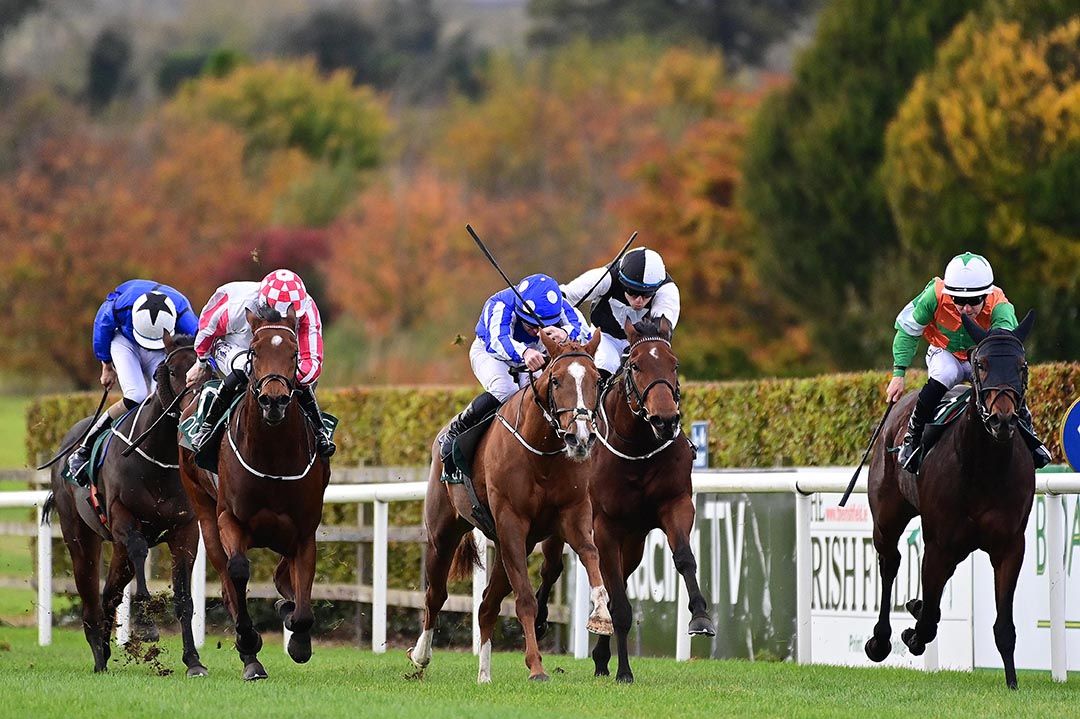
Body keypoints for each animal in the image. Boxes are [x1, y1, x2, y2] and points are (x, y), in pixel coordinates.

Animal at [42, 332, 206, 673]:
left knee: (109, 595)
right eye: (173, 371)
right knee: (91, 595)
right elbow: (141, 551)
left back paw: (105, 649)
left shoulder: (185, 530)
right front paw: (145, 625)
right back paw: (97, 653)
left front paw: (193, 660)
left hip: (116, 548)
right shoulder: (124, 520)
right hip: (80, 536)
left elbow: (184, 597)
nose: (192, 409)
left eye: (205, 370)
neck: (158, 459)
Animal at [177, 304, 330, 677]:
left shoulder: (304, 531)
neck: (273, 459)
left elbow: (302, 599)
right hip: (203, 511)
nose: (273, 400)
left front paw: (298, 638)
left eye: (294, 353)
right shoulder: (230, 520)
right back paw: (250, 659)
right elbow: (238, 571)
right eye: (255, 351)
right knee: (226, 579)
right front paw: (249, 641)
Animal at [406, 328, 617, 677]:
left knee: (487, 605)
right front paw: (536, 667)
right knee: (435, 595)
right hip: (443, 533)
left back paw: (484, 675)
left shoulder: (572, 513)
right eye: (556, 380)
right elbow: (525, 601)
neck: (541, 451)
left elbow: (591, 554)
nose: (580, 437)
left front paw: (601, 615)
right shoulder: (511, 522)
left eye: (596, 380)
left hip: (509, 545)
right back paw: (421, 655)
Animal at [533, 317, 717, 682]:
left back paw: (601, 655)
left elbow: (684, 558)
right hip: (563, 529)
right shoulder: (605, 527)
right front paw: (624, 672)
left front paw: (700, 617)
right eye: (635, 365)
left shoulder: (676, 504)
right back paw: (540, 618)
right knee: (552, 569)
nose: (665, 418)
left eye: (674, 365)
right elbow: (618, 601)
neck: (638, 450)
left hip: (633, 542)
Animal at [859, 310, 1036, 686]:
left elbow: (1004, 627)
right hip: (887, 517)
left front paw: (1012, 682)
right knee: (890, 562)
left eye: (1022, 365)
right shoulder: (938, 543)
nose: (1002, 419)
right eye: (981, 364)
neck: (983, 468)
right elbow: (926, 623)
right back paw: (881, 640)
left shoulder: (1010, 545)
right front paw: (911, 633)